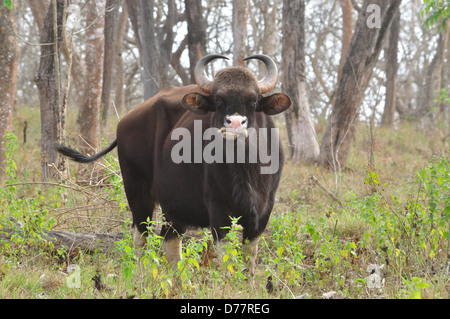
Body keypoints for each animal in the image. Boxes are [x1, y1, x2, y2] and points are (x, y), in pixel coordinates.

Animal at [56, 55, 292, 276]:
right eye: (218, 99)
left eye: (254, 100)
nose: (234, 124)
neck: (243, 168)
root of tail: (125, 122)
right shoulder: (218, 208)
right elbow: (226, 257)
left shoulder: (263, 210)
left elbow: (249, 256)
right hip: (137, 192)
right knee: (141, 235)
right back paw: (142, 275)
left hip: (173, 204)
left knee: (170, 241)